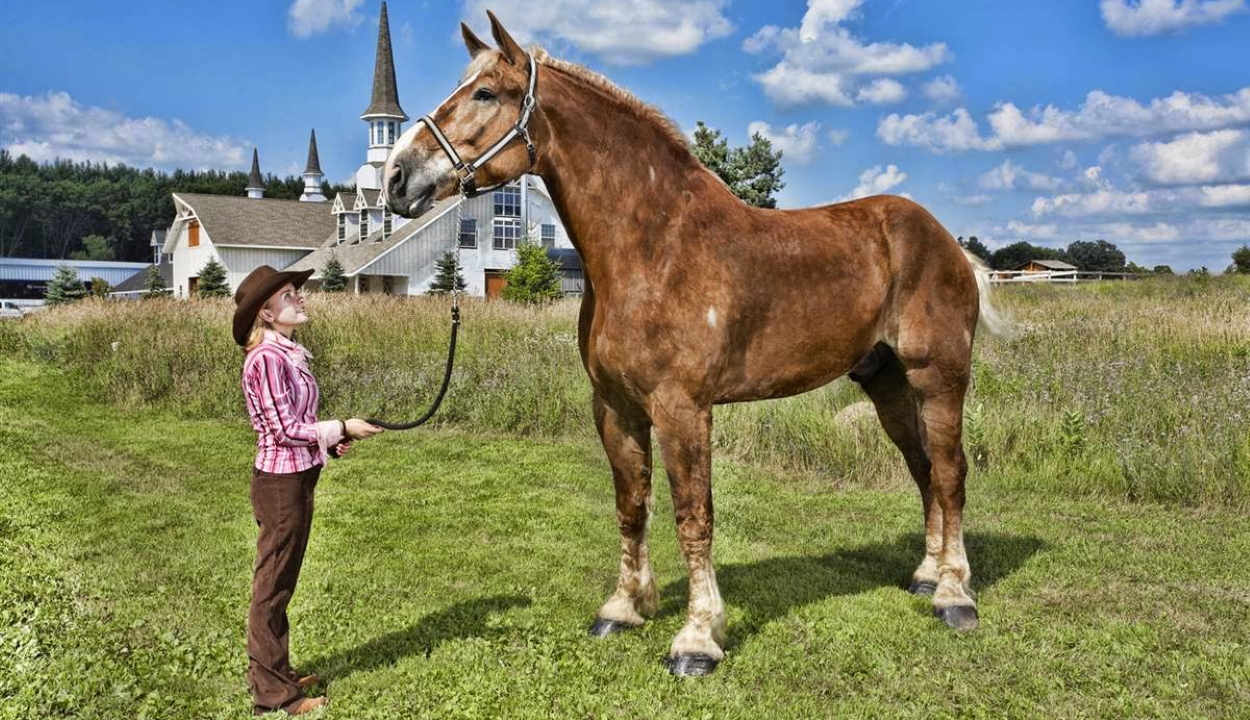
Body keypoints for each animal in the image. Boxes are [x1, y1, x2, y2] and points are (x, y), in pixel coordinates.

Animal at [385, 9, 1010, 675]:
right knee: (922, 469)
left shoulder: (682, 408)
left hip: (939, 377)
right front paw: (623, 608)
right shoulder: (616, 408)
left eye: (485, 93)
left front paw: (698, 637)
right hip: (886, 381)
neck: (653, 249)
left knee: (950, 472)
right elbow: (632, 506)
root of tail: (949, 244)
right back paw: (926, 575)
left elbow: (693, 516)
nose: (397, 178)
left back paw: (954, 595)